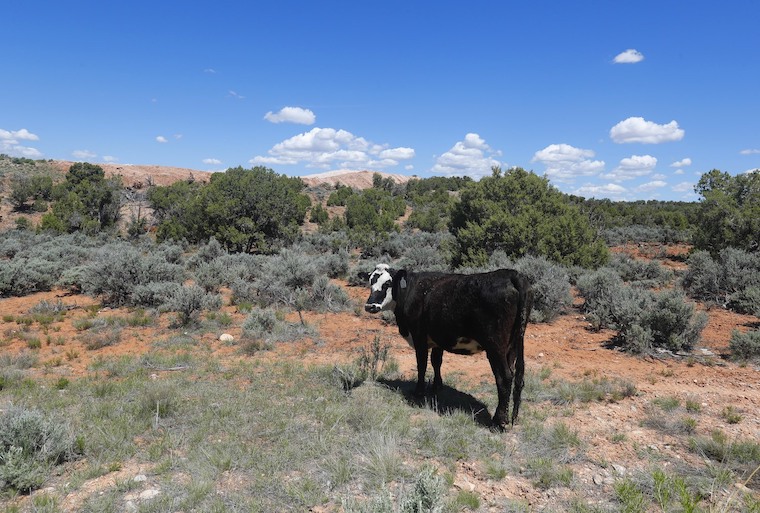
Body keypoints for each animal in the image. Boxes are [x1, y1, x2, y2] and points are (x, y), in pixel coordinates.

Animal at [360, 264, 533, 429]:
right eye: (370, 282)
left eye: (387, 283)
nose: (370, 306)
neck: (411, 290)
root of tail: (511, 274)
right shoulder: (438, 339)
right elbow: (436, 361)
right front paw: (437, 386)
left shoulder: (419, 336)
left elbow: (421, 364)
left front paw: (419, 392)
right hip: (513, 345)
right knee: (515, 376)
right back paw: (512, 417)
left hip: (496, 346)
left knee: (504, 377)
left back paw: (499, 421)